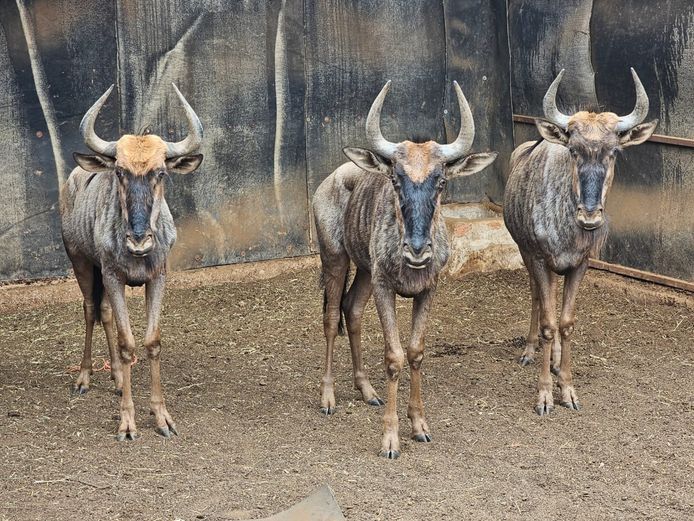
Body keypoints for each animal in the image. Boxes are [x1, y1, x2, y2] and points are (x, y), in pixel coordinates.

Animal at [60, 84, 203, 439]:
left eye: (160, 172)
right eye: (120, 171)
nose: (139, 240)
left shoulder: (157, 278)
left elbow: (152, 341)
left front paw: (162, 417)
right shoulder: (113, 277)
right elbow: (128, 344)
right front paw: (127, 422)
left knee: (104, 313)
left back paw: (115, 377)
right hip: (82, 263)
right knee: (90, 310)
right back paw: (84, 377)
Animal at [313, 81, 497, 458]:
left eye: (441, 181)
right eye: (396, 180)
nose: (416, 250)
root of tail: (330, 181)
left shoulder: (427, 289)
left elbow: (415, 352)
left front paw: (419, 425)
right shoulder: (385, 288)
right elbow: (394, 356)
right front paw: (390, 439)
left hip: (364, 272)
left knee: (352, 310)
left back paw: (367, 391)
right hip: (335, 259)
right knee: (331, 318)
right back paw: (328, 397)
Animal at [503, 69, 657, 415]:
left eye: (613, 152)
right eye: (573, 150)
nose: (589, 217)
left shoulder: (579, 265)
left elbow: (566, 323)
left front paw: (568, 388)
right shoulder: (539, 259)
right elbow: (548, 323)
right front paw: (545, 395)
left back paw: (556, 360)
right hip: (526, 255)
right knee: (536, 298)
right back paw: (530, 350)